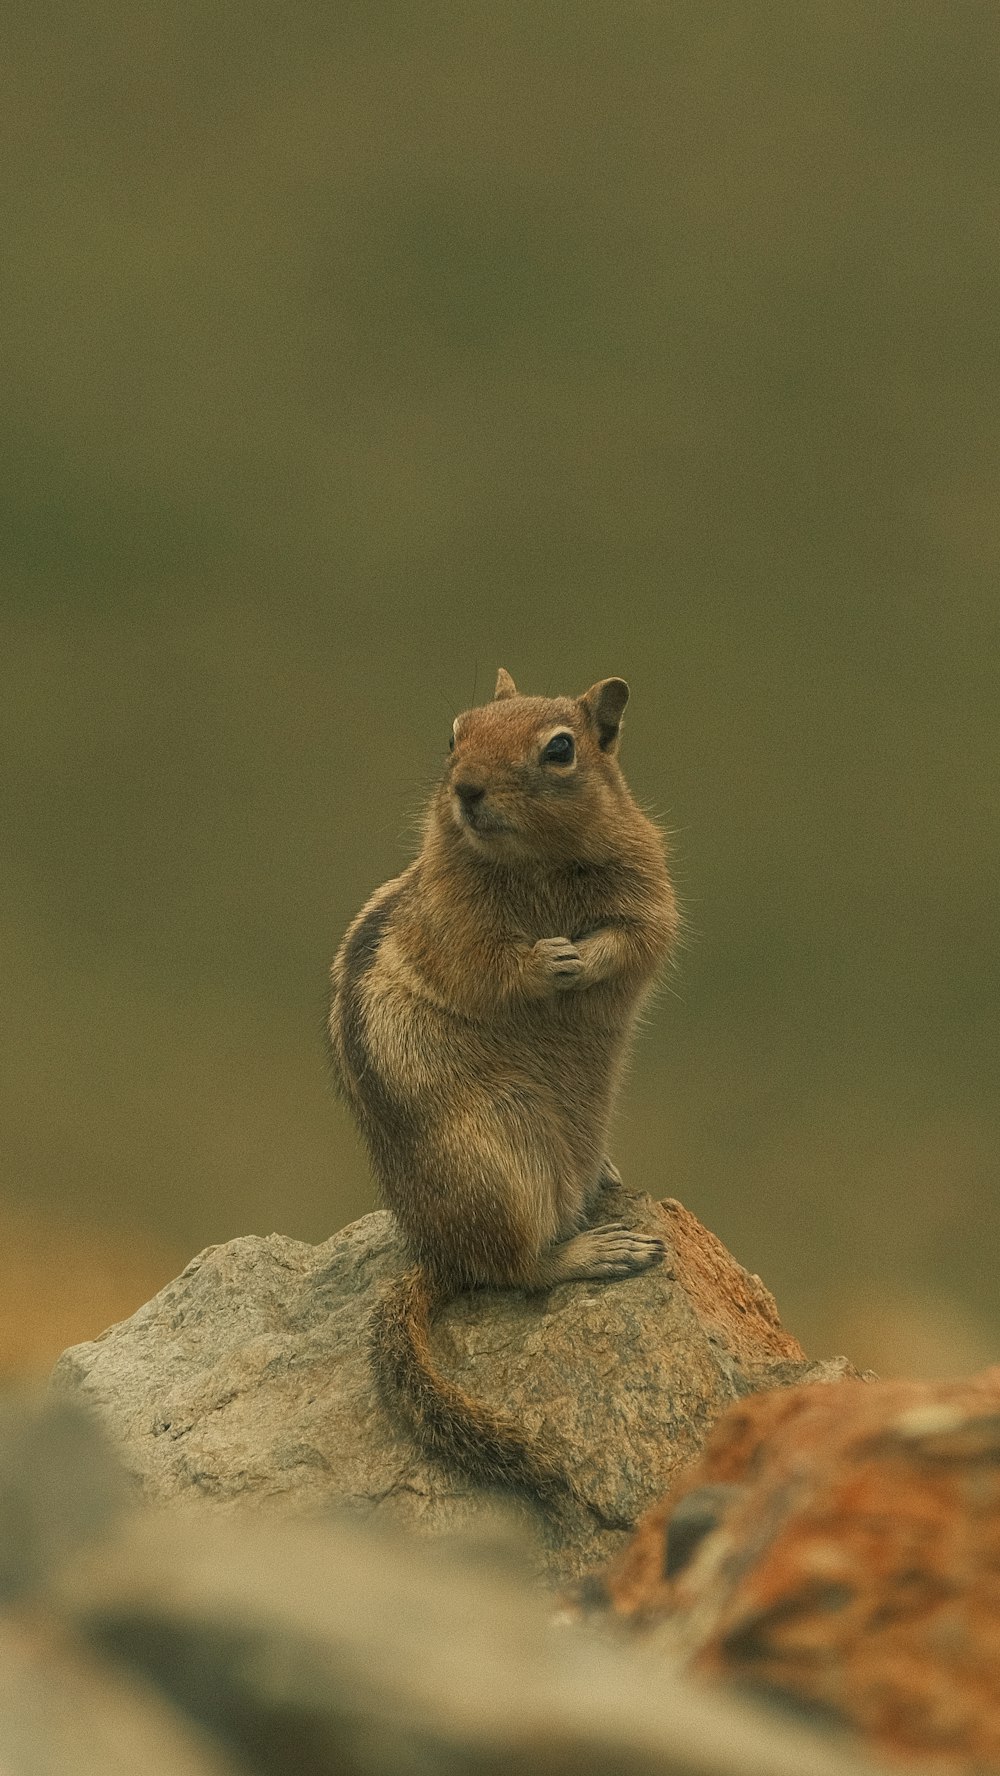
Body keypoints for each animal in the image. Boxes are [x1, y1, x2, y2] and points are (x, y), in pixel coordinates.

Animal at [328, 671, 682, 1506]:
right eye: (454, 733)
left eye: (560, 749)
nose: (466, 789)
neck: (537, 863)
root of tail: (438, 1254)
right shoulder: (451, 926)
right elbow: (488, 967)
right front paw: (548, 960)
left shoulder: (648, 885)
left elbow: (638, 936)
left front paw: (584, 959)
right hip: (501, 1163)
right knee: (517, 1271)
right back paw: (598, 1249)